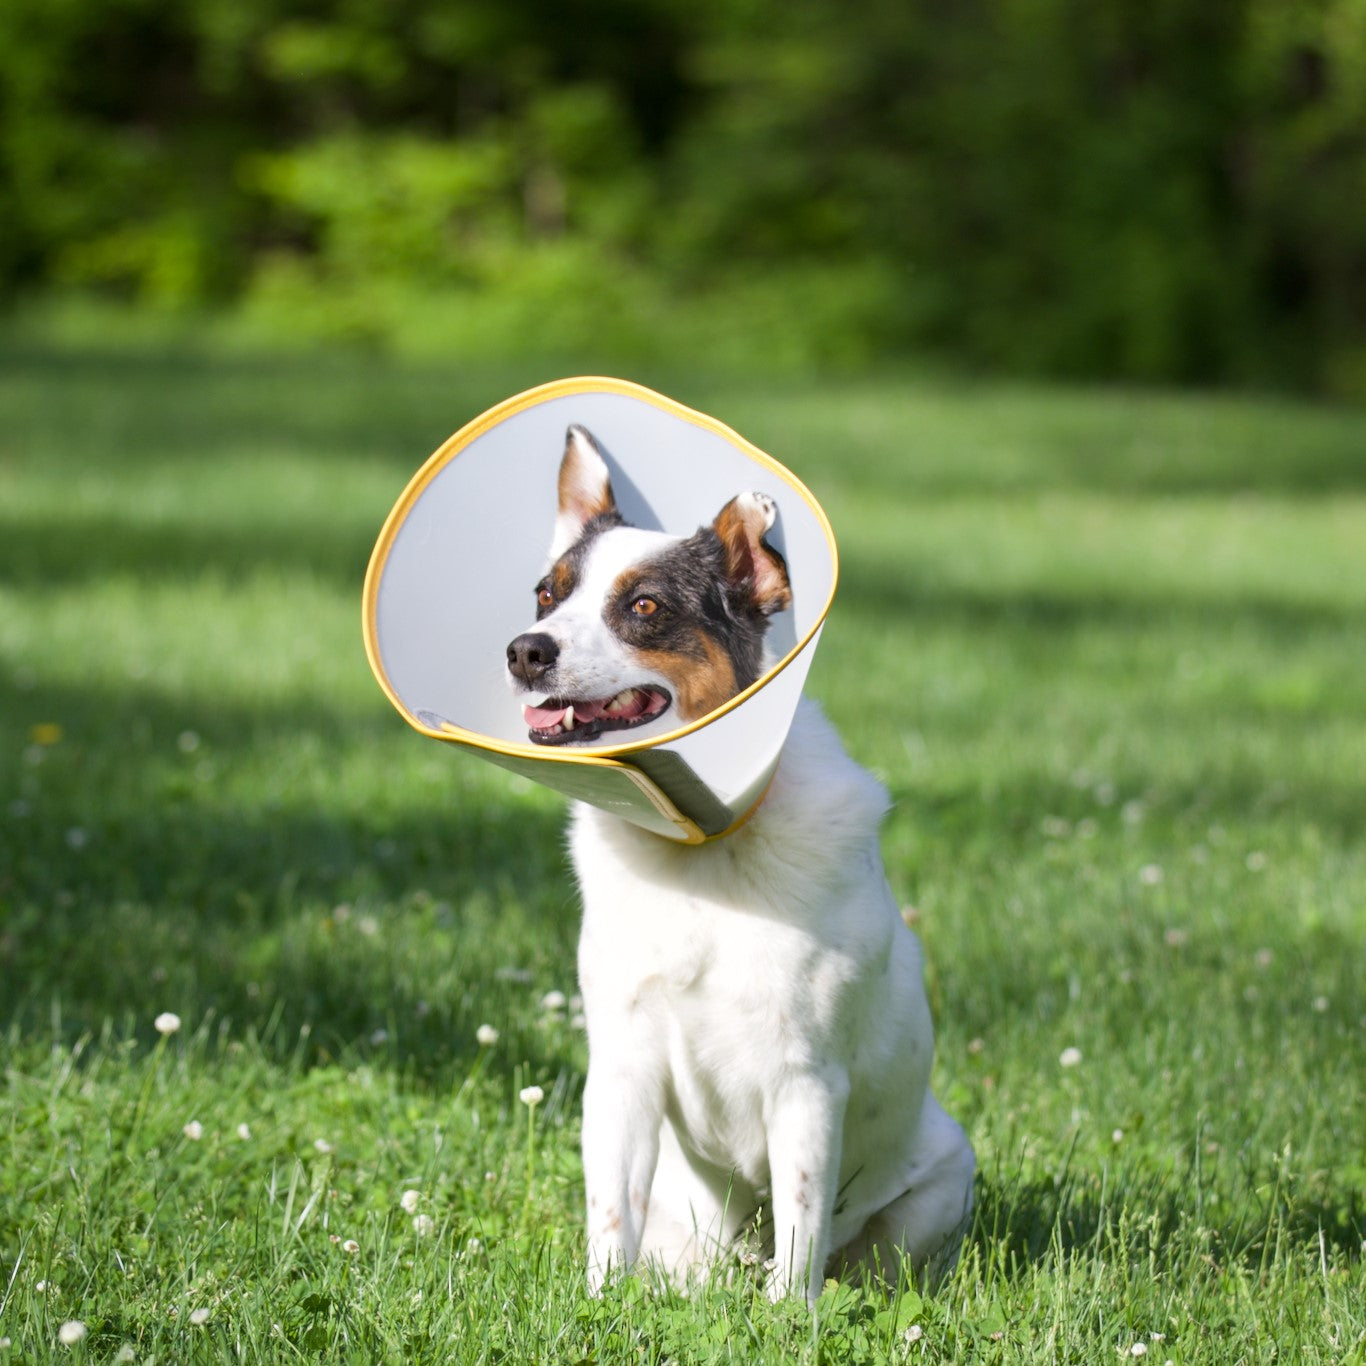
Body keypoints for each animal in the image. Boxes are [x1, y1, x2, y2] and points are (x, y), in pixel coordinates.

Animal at [508, 423, 978, 1300]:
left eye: (645, 607)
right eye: (547, 596)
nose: (526, 651)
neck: (704, 853)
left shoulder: (805, 1083)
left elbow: (800, 1225)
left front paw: (791, 1315)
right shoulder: (621, 1070)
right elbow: (609, 1219)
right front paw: (598, 1306)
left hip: (937, 1184)